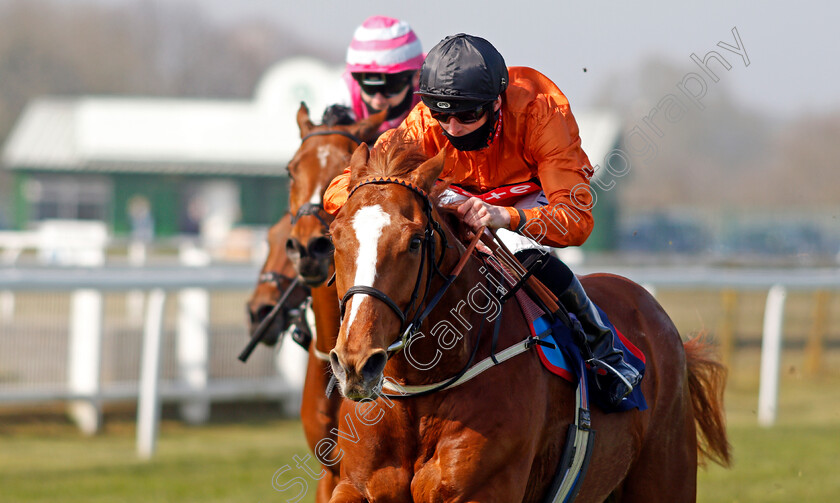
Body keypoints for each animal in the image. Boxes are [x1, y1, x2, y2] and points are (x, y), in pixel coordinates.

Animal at [322, 144, 728, 502]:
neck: (422, 390)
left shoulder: (482, 490)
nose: (357, 363)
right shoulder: (355, 487)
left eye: (415, 242)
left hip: (664, 477)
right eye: (334, 238)